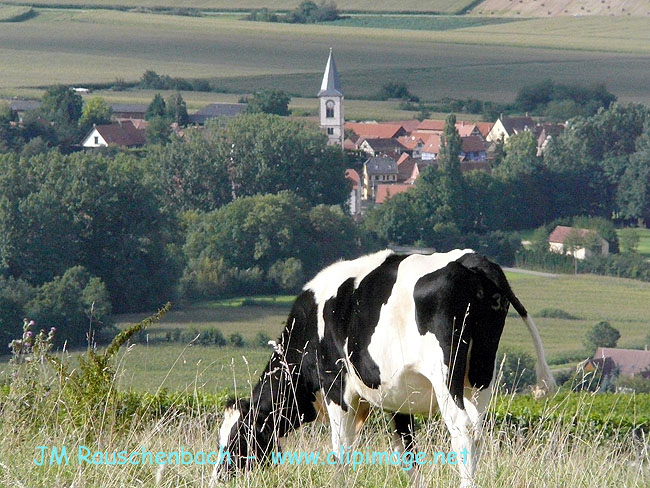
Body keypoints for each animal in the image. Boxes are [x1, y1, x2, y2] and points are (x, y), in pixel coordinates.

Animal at [210, 250, 556, 486]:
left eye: (236, 439)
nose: (216, 478)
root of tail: (472, 261)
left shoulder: (336, 387)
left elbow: (340, 450)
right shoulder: (396, 398)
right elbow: (408, 454)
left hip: (446, 375)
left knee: (463, 430)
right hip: (481, 374)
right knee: (479, 430)